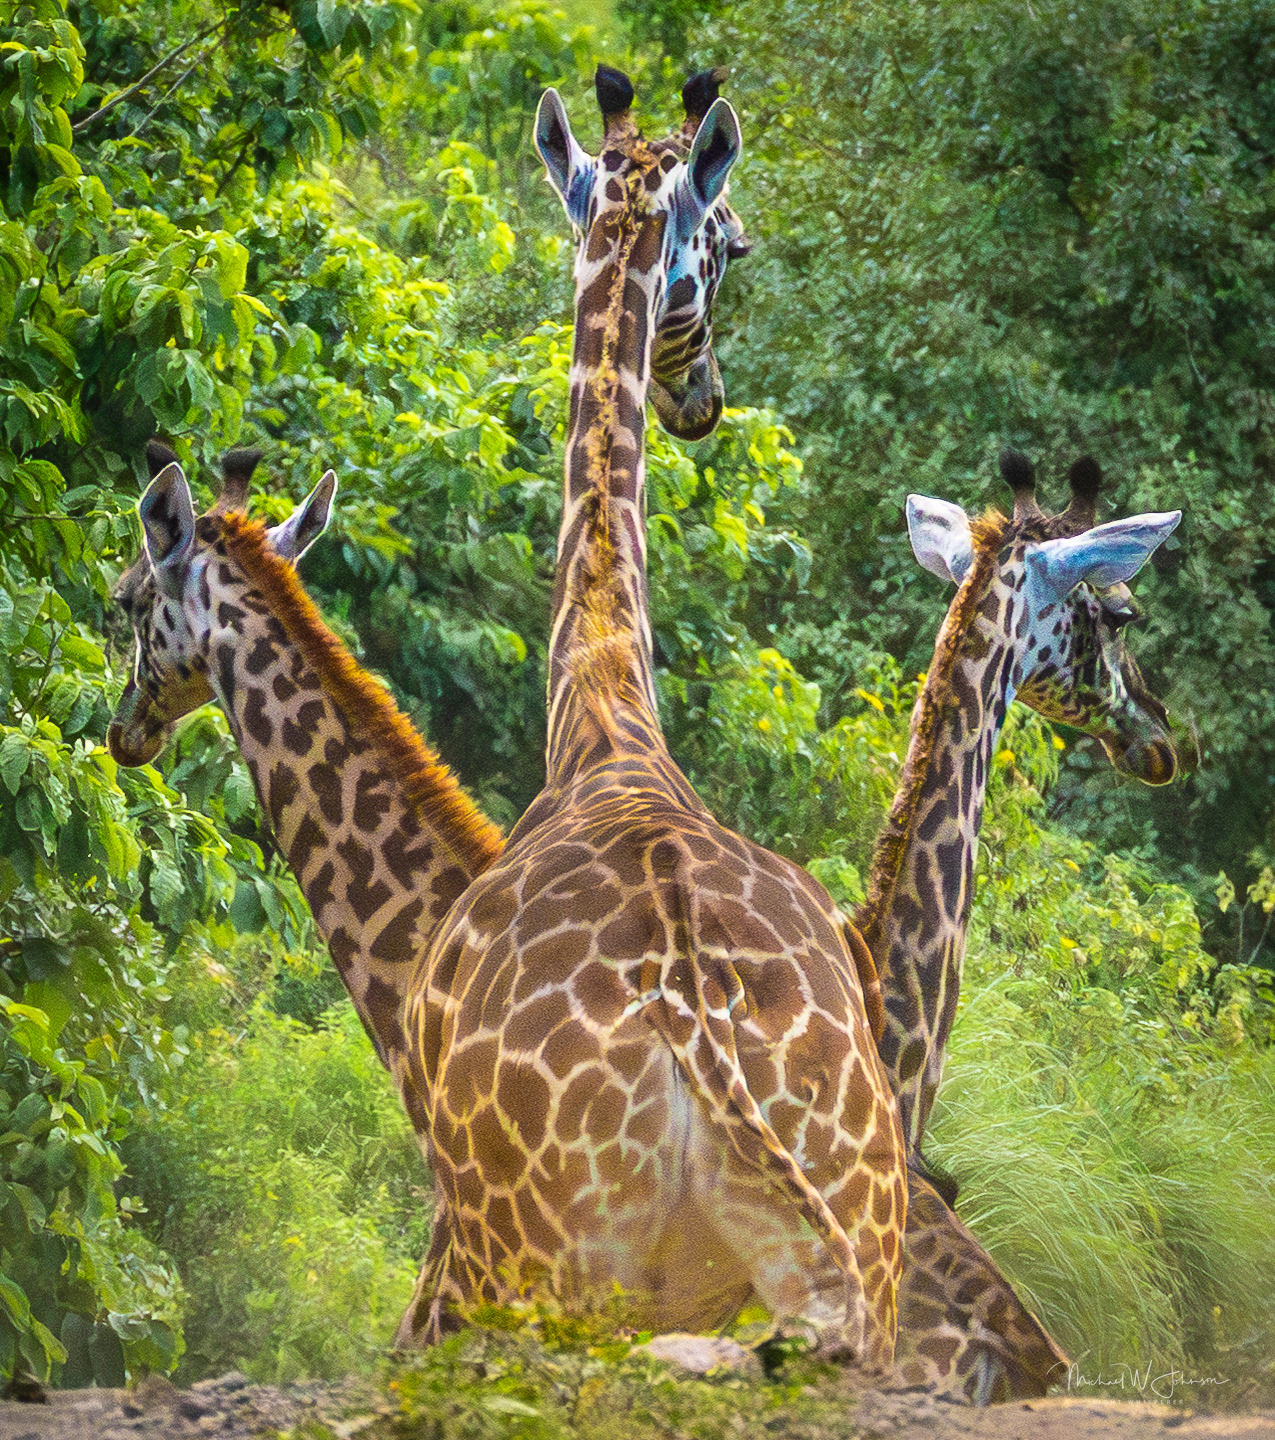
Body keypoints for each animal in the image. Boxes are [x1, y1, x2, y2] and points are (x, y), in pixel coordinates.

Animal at [392, 67, 907, 1372]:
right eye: (734, 241)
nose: (702, 400)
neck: (606, 720)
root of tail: (693, 1028)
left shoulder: (448, 1257)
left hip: (542, 1271)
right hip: (859, 1257)